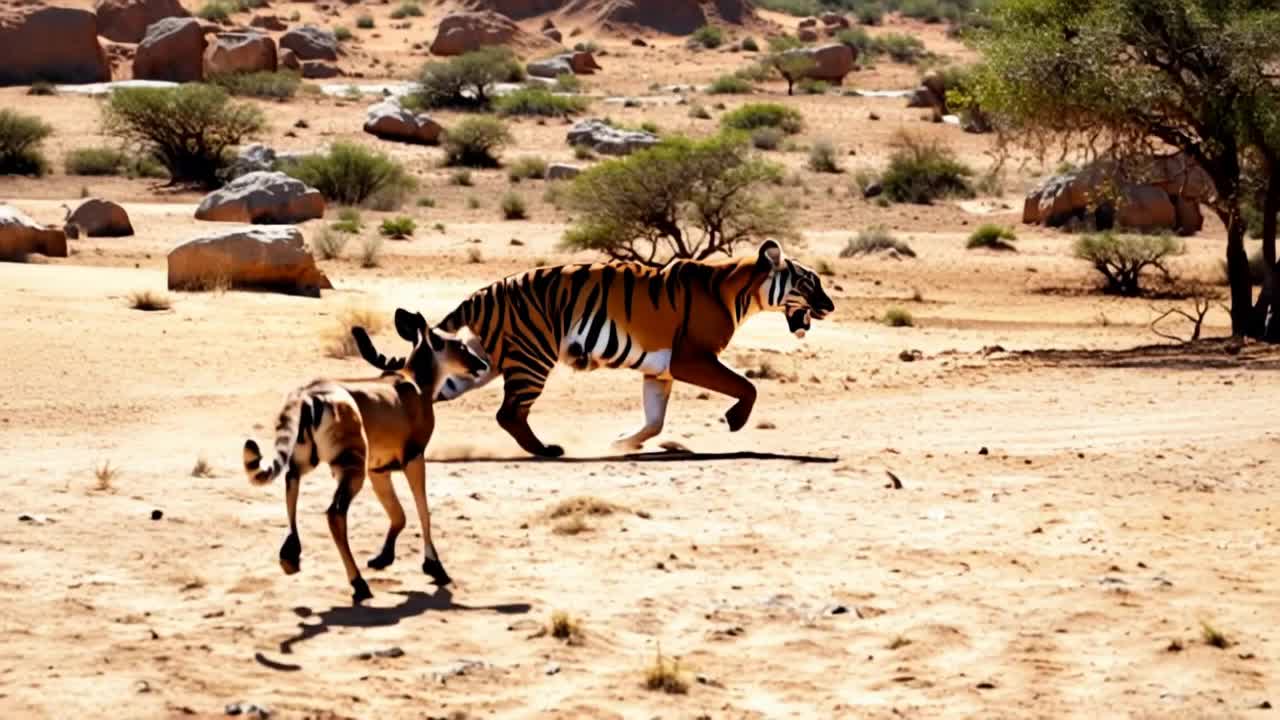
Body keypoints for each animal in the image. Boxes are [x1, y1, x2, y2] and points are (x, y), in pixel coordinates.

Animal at [354, 239, 835, 458]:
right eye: (810, 281)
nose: (830, 305)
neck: (741, 289)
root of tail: (485, 291)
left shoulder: (660, 370)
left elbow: (654, 420)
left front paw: (622, 442)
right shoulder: (691, 358)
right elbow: (747, 386)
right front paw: (735, 421)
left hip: (475, 364)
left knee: (422, 391)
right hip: (533, 357)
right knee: (509, 413)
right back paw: (546, 451)